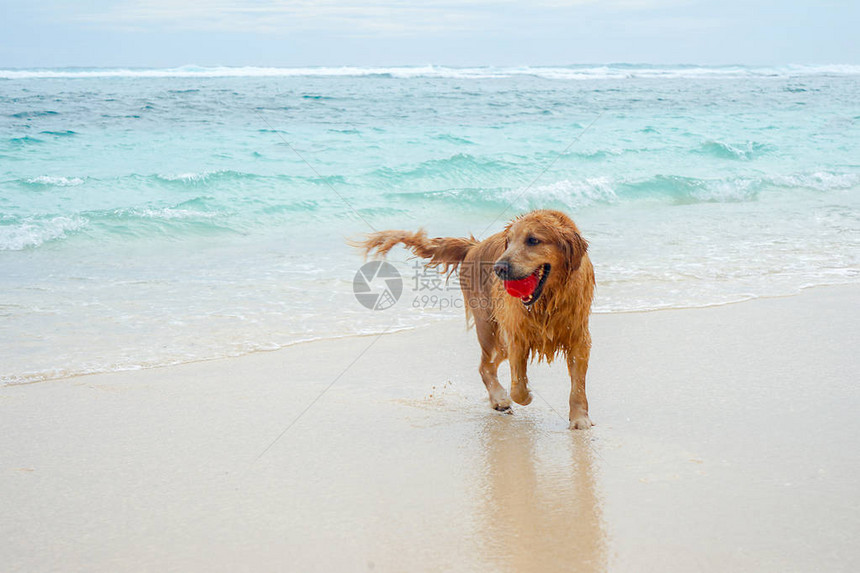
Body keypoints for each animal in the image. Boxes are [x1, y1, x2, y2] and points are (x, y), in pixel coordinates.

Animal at [352, 210, 596, 428]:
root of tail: (473, 246)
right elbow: (518, 385)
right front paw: (523, 396)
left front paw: (579, 419)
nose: (499, 268)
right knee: (484, 366)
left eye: (533, 240)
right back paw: (499, 399)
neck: (548, 300)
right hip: (488, 327)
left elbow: (578, 385)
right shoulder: (516, 335)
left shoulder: (579, 338)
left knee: (489, 365)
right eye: (508, 242)